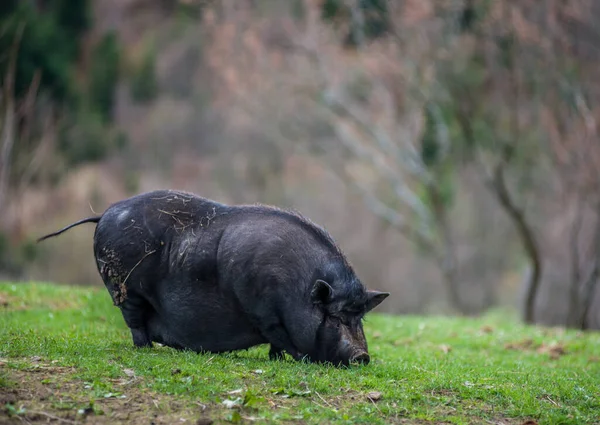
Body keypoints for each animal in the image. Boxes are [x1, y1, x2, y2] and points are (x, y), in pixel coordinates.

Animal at [39, 189, 392, 364]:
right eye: (333, 318)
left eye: (359, 318)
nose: (362, 356)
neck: (296, 289)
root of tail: (104, 213)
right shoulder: (263, 311)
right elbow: (280, 338)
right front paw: (293, 359)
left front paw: (277, 359)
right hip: (126, 290)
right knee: (135, 324)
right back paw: (147, 350)